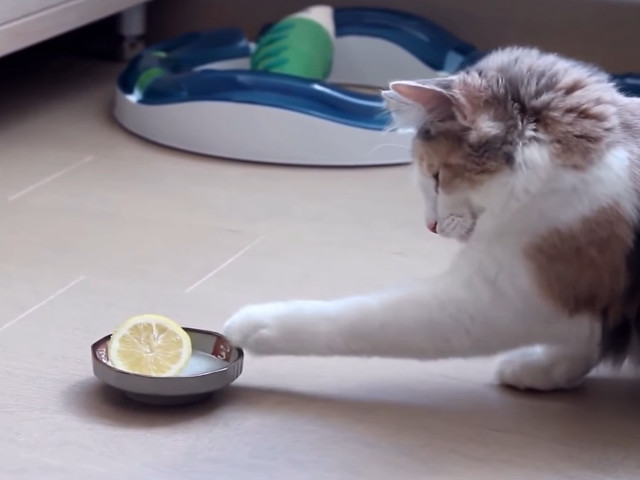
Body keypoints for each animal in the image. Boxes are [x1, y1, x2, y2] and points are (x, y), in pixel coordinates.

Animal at [223, 46, 640, 391]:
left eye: (438, 177)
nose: (431, 226)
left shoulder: (497, 298)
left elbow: (363, 318)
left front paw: (251, 324)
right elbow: (582, 343)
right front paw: (541, 370)